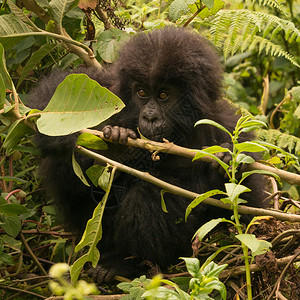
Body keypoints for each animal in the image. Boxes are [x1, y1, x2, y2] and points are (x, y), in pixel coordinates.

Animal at [29, 27, 266, 282]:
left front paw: (226, 163)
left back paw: (124, 263)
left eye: (163, 95)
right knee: (62, 161)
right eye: (141, 92)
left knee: (148, 192)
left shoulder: (227, 125)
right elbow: (54, 97)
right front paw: (110, 144)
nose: (149, 117)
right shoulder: (110, 90)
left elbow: (248, 215)